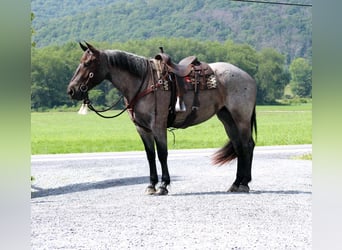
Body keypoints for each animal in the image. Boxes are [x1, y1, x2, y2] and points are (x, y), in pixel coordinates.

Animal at [67, 42, 256, 195]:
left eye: (88, 63)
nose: (71, 90)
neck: (144, 83)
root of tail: (247, 76)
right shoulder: (142, 129)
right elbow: (150, 155)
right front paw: (151, 185)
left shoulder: (158, 126)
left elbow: (162, 154)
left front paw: (164, 185)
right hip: (227, 119)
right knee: (239, 147)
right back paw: (236, 183)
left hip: (241, 119)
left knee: (247, 146)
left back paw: (244, 184)